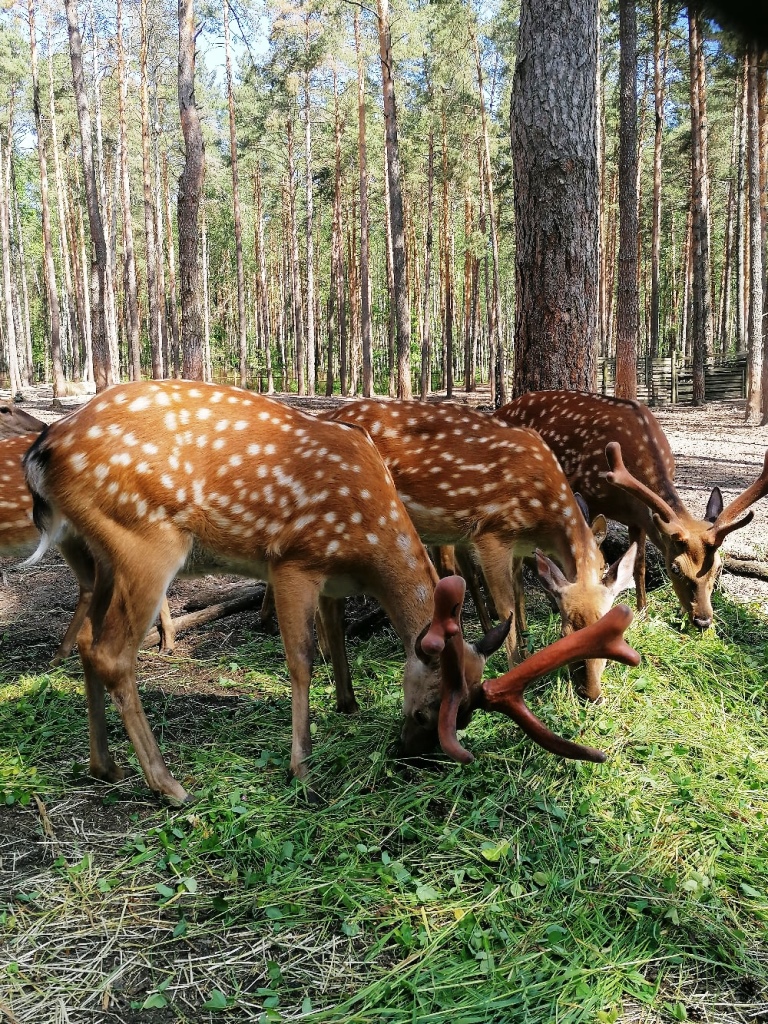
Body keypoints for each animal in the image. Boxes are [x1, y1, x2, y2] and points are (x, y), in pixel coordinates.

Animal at [323, 395, 638, 700]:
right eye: (565, 632)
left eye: (616, 635)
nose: (591, 693)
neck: (543, 518)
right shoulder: (492, 533)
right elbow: (505, 604)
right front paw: (515, 665)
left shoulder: (518, 545)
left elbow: (519, 592)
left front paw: (527, 642)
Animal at [495, 391, 768, 626]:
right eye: (675, 568)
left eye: (718, 567)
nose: (702, 620)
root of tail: (501, 409)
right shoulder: (588, 499)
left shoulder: (638, 519)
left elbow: (639, 565)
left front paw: (642, 611)